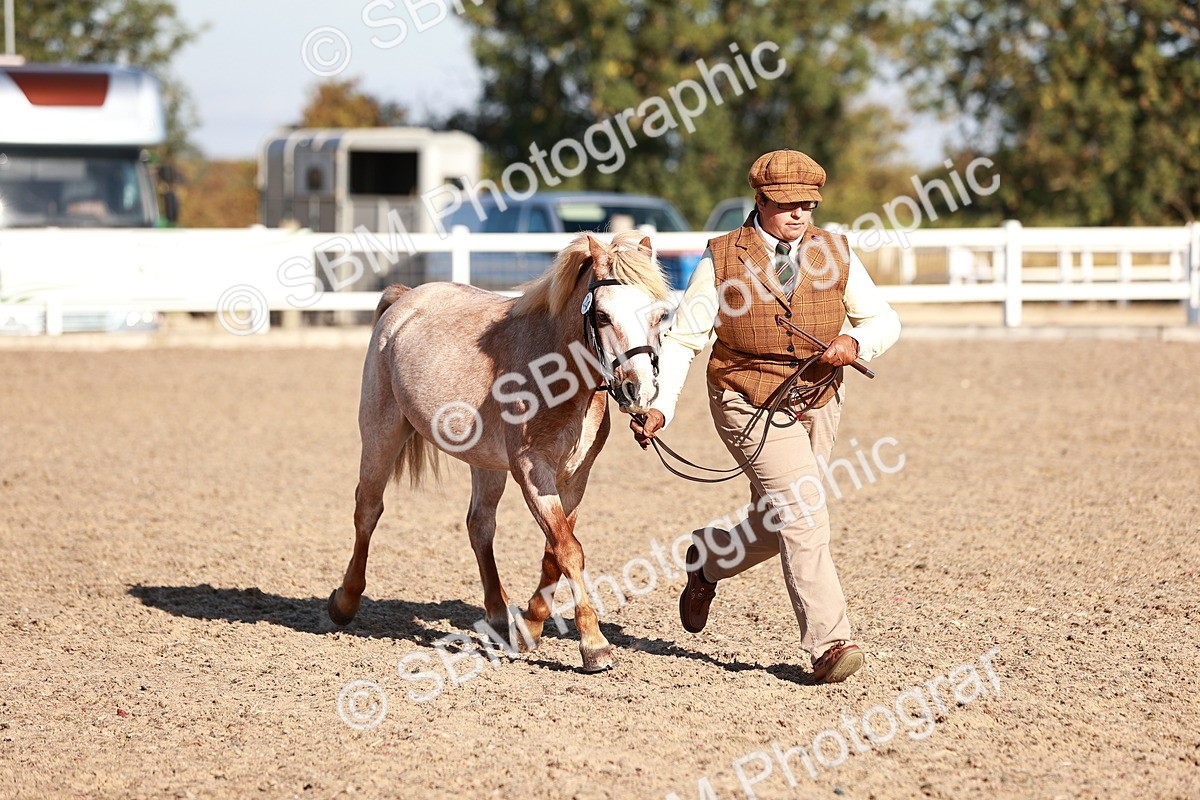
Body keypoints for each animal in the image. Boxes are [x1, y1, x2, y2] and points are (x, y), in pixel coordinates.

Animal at [327, 231, 672, 672]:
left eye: (659, 315)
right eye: (602, 316)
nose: (638, 390)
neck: (554, 370)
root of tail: (405, 298)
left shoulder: (575, 476)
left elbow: (554, 551)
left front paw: (530, 628)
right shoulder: (532, 471)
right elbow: (568, 550)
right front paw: (593, 645)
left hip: (485, 463)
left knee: (479, 526)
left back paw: (497, 616)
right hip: (381, 433)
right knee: (368, 510)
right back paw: (345, 601)